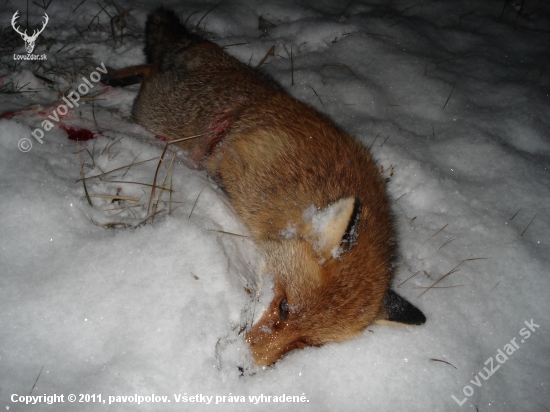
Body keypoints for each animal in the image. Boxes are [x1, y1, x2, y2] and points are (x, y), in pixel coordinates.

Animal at [108, 8, 426, 366]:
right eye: (284, 307)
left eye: (306, 343)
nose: (241, 367)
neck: (300, 194)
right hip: (156, 112)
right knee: (150, 71)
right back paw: (115, 77)